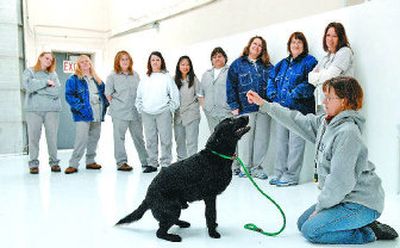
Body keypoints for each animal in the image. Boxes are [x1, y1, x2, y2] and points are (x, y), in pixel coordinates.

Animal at [114, 116, 248, 242]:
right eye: (230, 121)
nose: (246, 116)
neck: (217, 154)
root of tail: (147, 197)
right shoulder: (210, 197)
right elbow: (211, 215)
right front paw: (212, 232)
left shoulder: (211, 197)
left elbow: (212, 215)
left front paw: (213, 227)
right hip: (173, 209)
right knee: (160, 231)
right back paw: (174, 237)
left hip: (177, 207)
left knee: (166, 223)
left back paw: (183, 223)